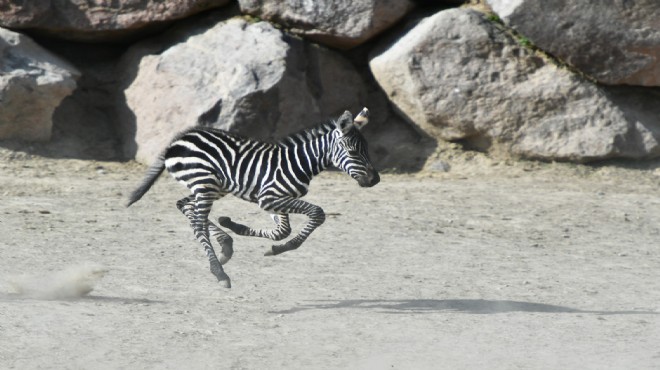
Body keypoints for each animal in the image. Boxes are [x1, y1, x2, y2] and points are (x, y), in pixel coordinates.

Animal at [126, 108, 378, 288]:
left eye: (367, 149)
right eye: (354, 152)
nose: (375, 180)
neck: (299, 163)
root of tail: (180, 137)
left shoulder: (272, 202)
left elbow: (281, 231)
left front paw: (239, 228)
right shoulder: (269, 198)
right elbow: (317, 213)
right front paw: (284, 247)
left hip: (214, 187)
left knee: (183, 205)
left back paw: (225, 244)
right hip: (204, 183)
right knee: (198, 223)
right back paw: (219, 271)